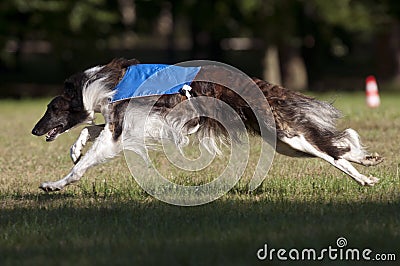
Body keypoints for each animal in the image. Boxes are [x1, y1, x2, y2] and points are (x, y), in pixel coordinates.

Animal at [30, 57, 382, 191]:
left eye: (51, 107)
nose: (34, 130)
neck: (100, 85)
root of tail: (261, 85)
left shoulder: (120, 132)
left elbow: (85, 160)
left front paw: (54, 184)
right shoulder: (123, 125)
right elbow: (88, 130)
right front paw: (74, 149)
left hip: (289, 137)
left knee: (333, 152)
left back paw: (364, 175)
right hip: (286, 143)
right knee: (338, 149)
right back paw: (367, 165)